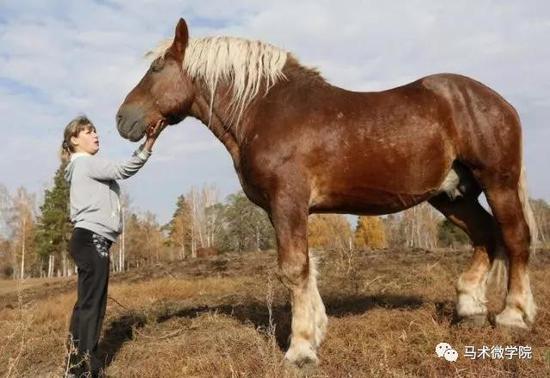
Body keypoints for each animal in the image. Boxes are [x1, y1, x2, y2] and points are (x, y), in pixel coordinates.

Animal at [116, 18, 540, 366]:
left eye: (156, 68)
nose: (122, 119)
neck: (265, 110)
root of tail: (499, 102)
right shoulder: (284, 209)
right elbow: (307, 268)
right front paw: (316, 332)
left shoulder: (288, 202)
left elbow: (294, 269)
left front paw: (300, 350)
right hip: (453, 195)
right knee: (485, 235)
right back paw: (470, 310)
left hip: (497, 182)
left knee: (515, 237)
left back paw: (513, 316)